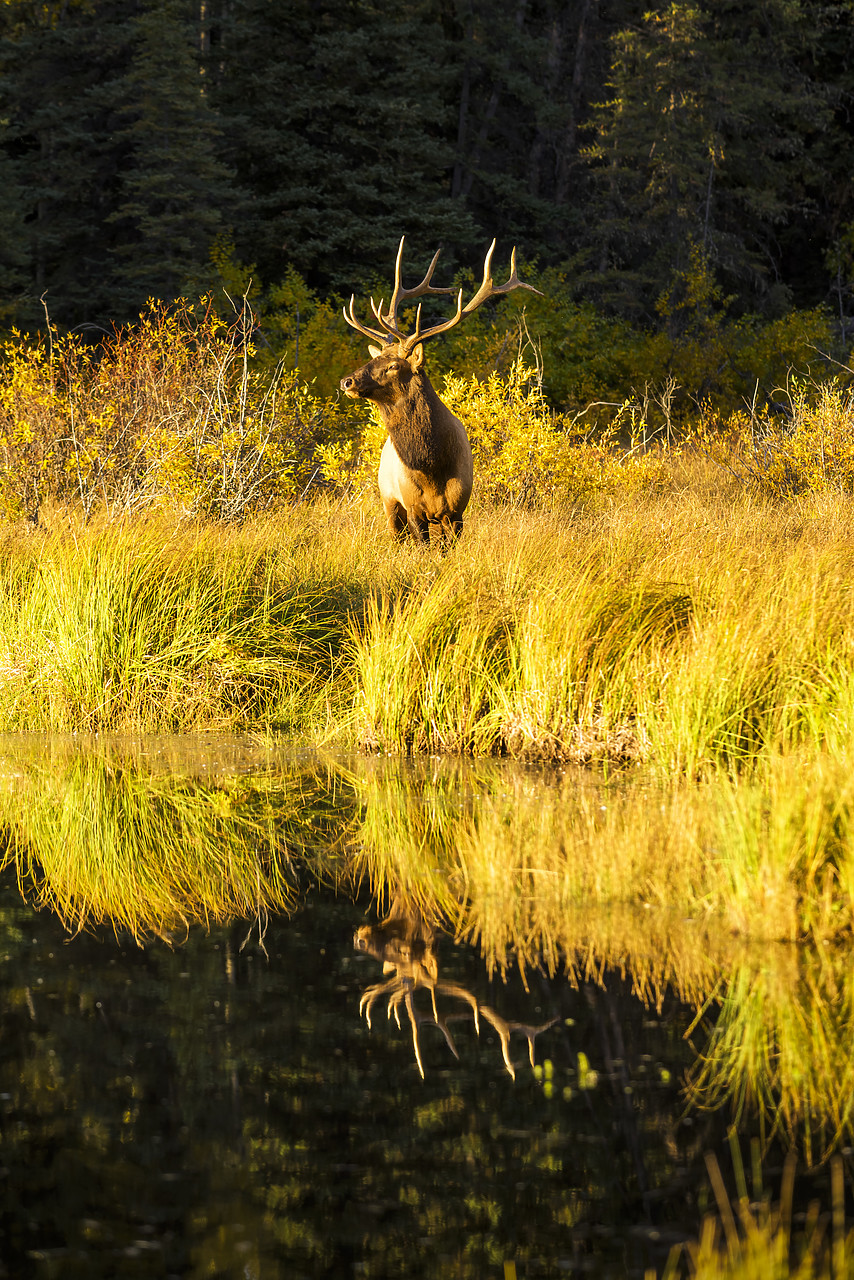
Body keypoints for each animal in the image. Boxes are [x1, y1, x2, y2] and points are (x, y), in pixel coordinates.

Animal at [340, 238, 540, 542]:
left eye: (393, 365)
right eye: (374, 359)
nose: (347, 382)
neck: (432, 468)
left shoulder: (457, 511)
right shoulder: (412, 507)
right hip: (388, 499)